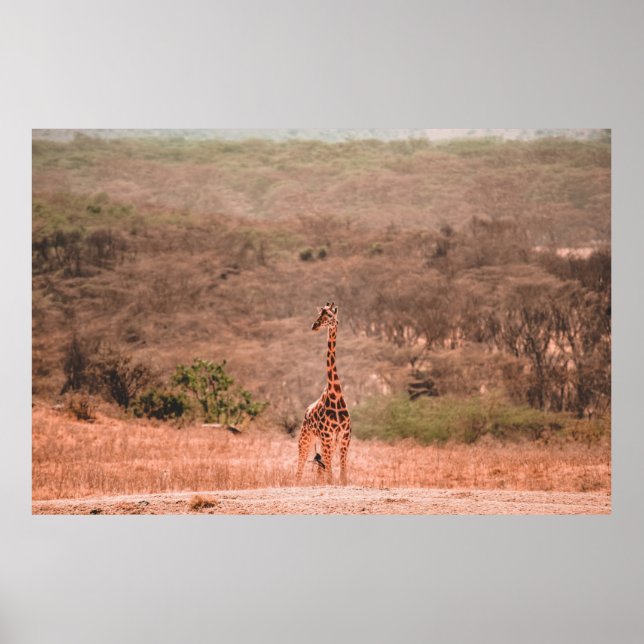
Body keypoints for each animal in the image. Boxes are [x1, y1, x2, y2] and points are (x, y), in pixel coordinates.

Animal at [295, 302, 351, 485]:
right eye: (320, 314)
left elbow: (342, 476)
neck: (336, 395)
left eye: (330, 316)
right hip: (305, 440)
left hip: (326, 444)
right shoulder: (327, 437)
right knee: (299, 471)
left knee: (320, 470)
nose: (314, 325)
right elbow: (331, 477)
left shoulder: (343, 437)